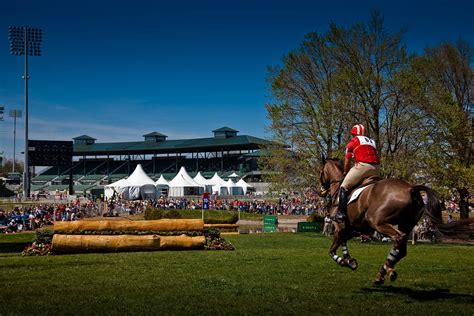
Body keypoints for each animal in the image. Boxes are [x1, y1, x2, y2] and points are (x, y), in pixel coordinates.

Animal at [320, 158, 472, 284]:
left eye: (321, 172)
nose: (321, 191)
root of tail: (410, 188)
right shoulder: (352, 230)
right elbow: (343, 243)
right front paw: (349, 260)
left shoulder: (339, 228)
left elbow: (331, 251)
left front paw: (344, 261)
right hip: (406, 223)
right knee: (401, 247)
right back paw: (382, 272)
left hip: (378, 222)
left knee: (399, 239)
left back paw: (388, 269)